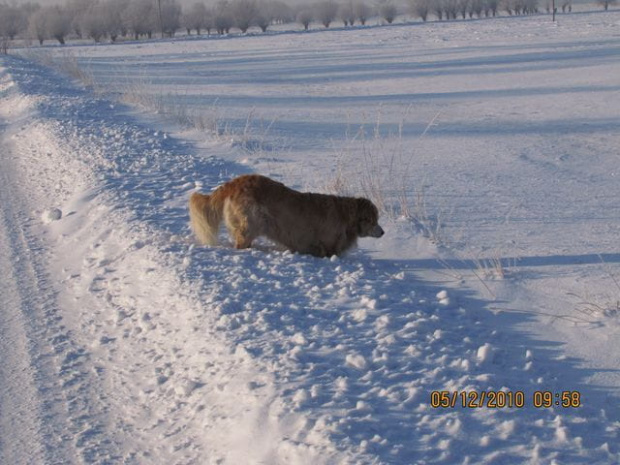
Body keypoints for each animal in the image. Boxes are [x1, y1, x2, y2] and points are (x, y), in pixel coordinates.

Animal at [189, 173, 382, 256]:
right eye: (373, 220)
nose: (383, 232)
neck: (345, 216)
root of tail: (236, 182)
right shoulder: (327, 245)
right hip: (252, 222)